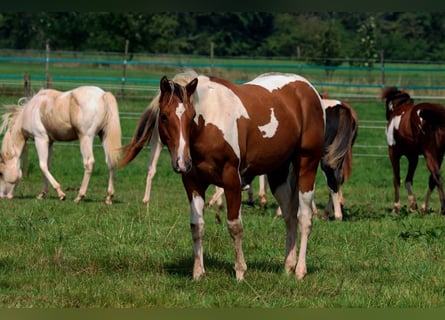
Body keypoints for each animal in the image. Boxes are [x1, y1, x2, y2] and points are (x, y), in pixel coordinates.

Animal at [119, 70, 324, 280]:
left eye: (191, 116)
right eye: (165, 117)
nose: (182, 163)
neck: (209, 122)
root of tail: (307, 88)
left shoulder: (232, 181)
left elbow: (235, 226)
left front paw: (240, 272)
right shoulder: (193, 183)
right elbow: (197, 226)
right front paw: (198, 273)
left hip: (307, 166)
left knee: (304, 218)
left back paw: (300, 270)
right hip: (278, 173)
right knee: (290, 216)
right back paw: (288, 266)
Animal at [380, 86, 444, 214]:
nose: (387, 116)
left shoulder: (393, 153)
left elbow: (396, 178)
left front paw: (396, 207)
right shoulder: (413, 156)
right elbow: (408, 179)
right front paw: (413, 206)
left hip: (430, 154)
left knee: (436, 176)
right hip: (439, 154)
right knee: (433, 179)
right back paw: (424, 207)